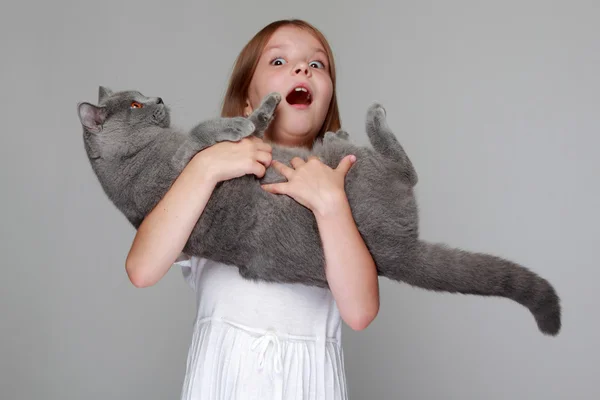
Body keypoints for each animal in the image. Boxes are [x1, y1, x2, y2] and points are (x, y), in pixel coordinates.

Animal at [77, 86, 560, 334]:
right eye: (134, 104)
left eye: (141, 94)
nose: (157, 99)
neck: (130, 160)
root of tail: (399, 249)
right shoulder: (182, 167)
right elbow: (205, 130)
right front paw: (241, 120)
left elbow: (244, 125)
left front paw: (265, 108)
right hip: (357, 167)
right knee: (406, 169)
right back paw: (366, 120)